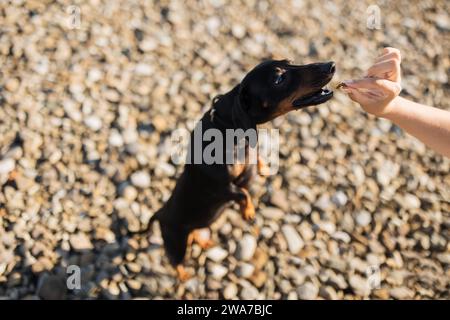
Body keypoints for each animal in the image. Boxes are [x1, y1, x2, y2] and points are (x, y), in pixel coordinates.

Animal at [147, 58, 334, 278]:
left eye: (290, 62)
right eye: (278, 79)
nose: (330, 65)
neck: (225, 126)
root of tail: (160, 213)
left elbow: (255, 160)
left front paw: (262, 167)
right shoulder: (222, 187)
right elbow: (243, 193)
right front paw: (249, 212)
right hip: (176, 242)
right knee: (175, 261)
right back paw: (184, 276)